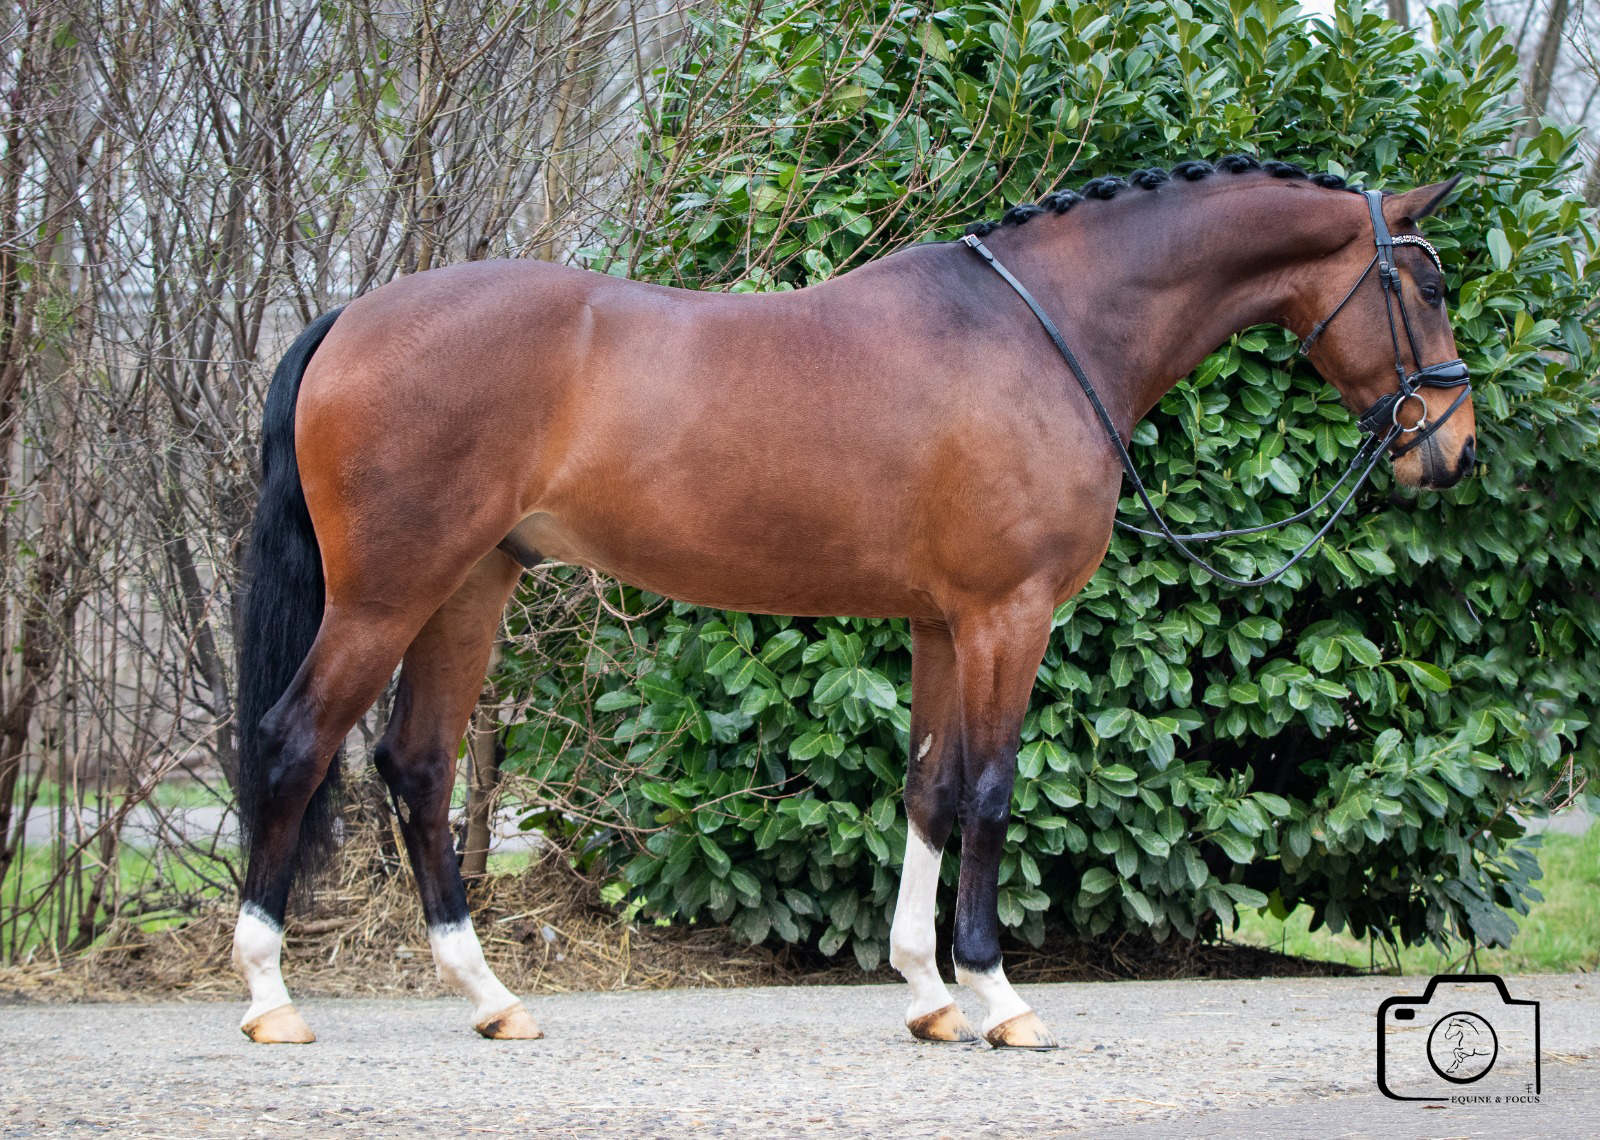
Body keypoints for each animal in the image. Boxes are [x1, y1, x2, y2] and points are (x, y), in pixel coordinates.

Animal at [230, 154, 1476, 1047]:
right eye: (1424, 283)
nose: (1451, 449)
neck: (1045, 331)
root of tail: (351, 317)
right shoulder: (1008, 615)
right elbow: (990, 792)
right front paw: (999, 998)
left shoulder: (940, 622)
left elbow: (929, 789)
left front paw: (927, 993)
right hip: (390, 593)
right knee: (294, 743)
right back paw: (270, 996)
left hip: (469, 587)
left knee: (419, 765)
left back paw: (490, 997)